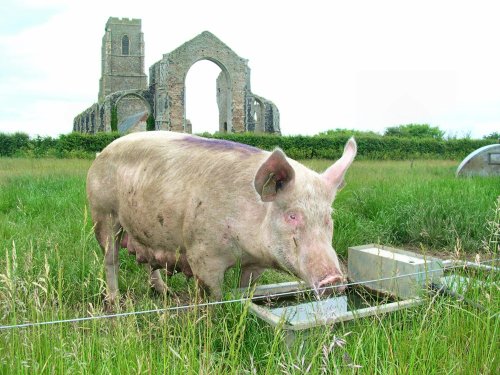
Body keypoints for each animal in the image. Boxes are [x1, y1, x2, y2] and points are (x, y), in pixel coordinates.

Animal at [88, 132, 358, 302]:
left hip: (142, 227)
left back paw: (165, 293)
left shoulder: (255, 264)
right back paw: (115, 301)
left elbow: (246, 289)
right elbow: (214, 295)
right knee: (110, 258)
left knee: (147, 263)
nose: (334, 278)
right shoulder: (202, 255)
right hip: (103, 214)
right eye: (292, 216)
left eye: (328, 218)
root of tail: (101, 153)